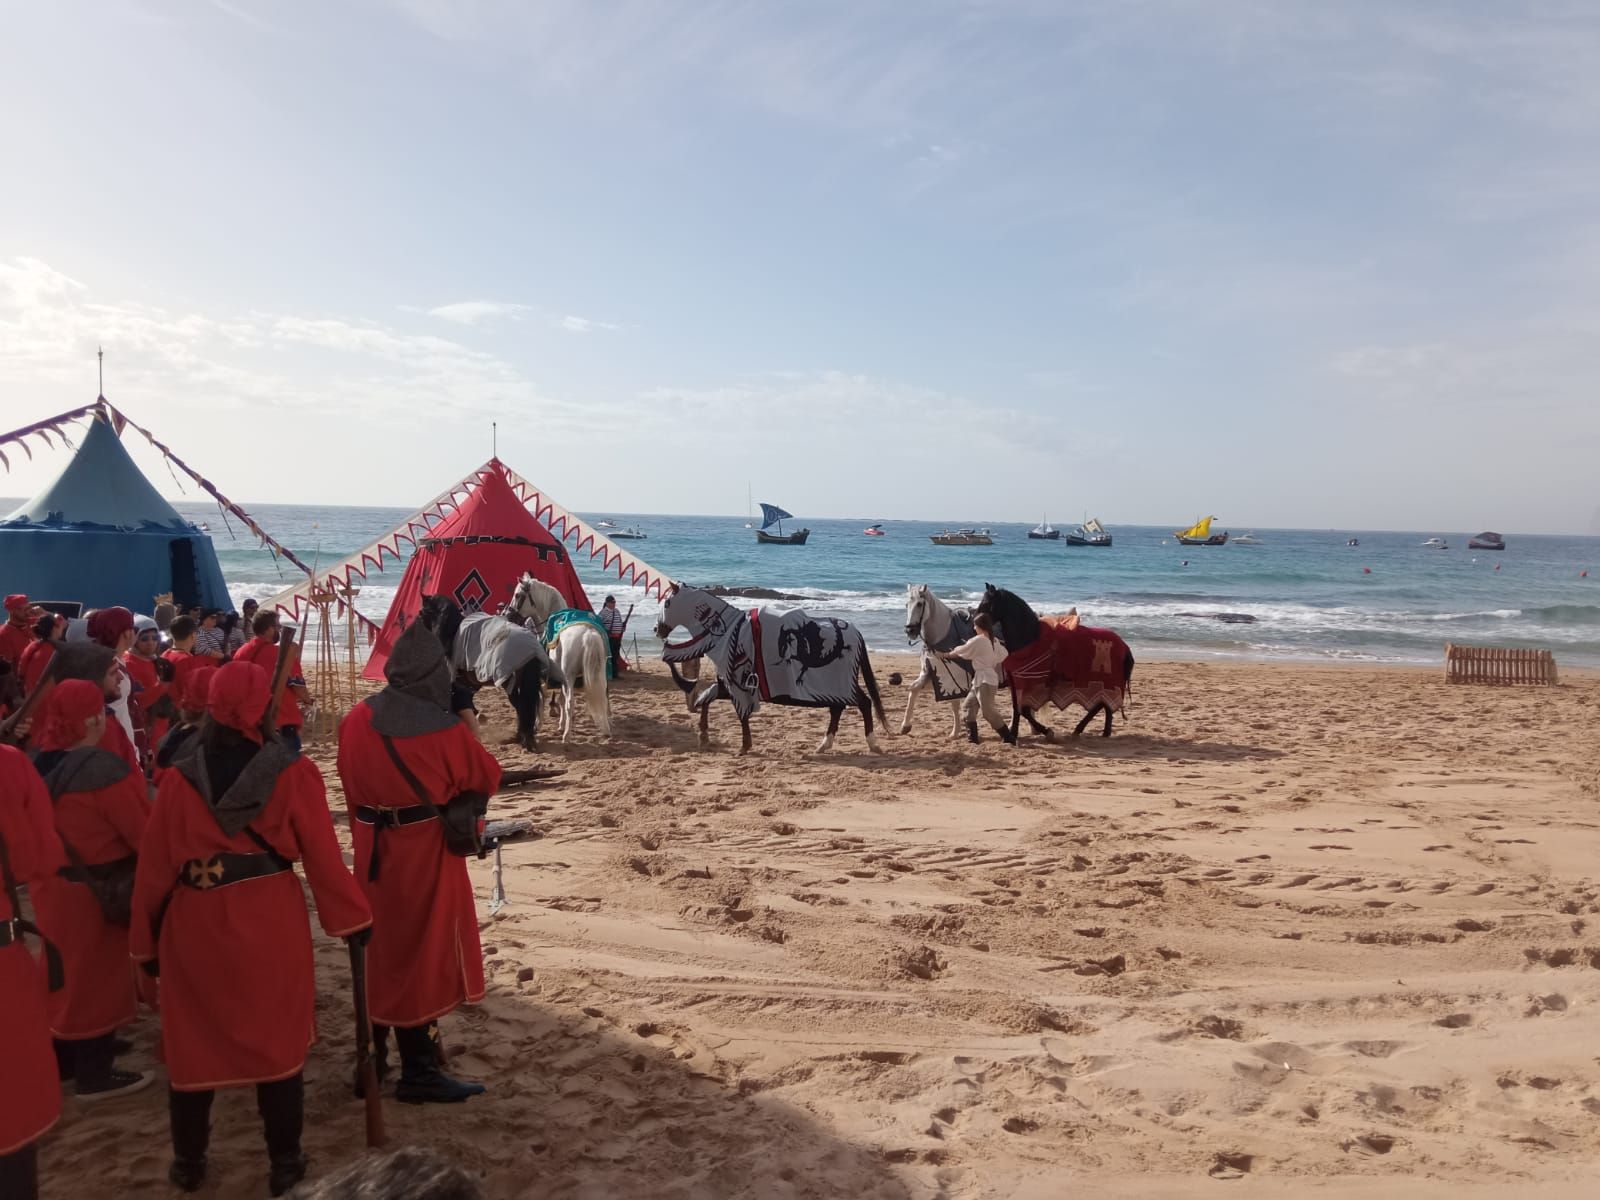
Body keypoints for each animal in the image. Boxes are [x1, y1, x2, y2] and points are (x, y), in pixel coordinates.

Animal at [512, 572, 611, 742]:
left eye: (518, 595)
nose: (507, 615)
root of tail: (588, 634)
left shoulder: (546, 677)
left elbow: (544, 698)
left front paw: (539, 724)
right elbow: (560, 699)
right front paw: (560, 724)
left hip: (570, 676)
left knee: (571, 703)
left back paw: (567, 736)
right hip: (597, 675)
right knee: (600, 698)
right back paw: (605, 730)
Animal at [902, 585, 972, 742]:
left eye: (919, 604)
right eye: (906, 605)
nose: (910, 630)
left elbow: (955, 703)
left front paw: (955, 731)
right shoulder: (932, 675)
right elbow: (913, 689)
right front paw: (905, 726)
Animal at [972, 585, 1139, 742]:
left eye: (986, 603)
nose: (975, 622)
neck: (1030, 639)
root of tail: (1125, 647)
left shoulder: (1030, 682)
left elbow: (1024, 710)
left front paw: (1046, 732)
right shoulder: (1015, 681)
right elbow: (1017, 708)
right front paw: (1014, 733)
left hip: (1109, 682)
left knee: (1105, 704)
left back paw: (1098, 730)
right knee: (1102, 705)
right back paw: (1088, 730)